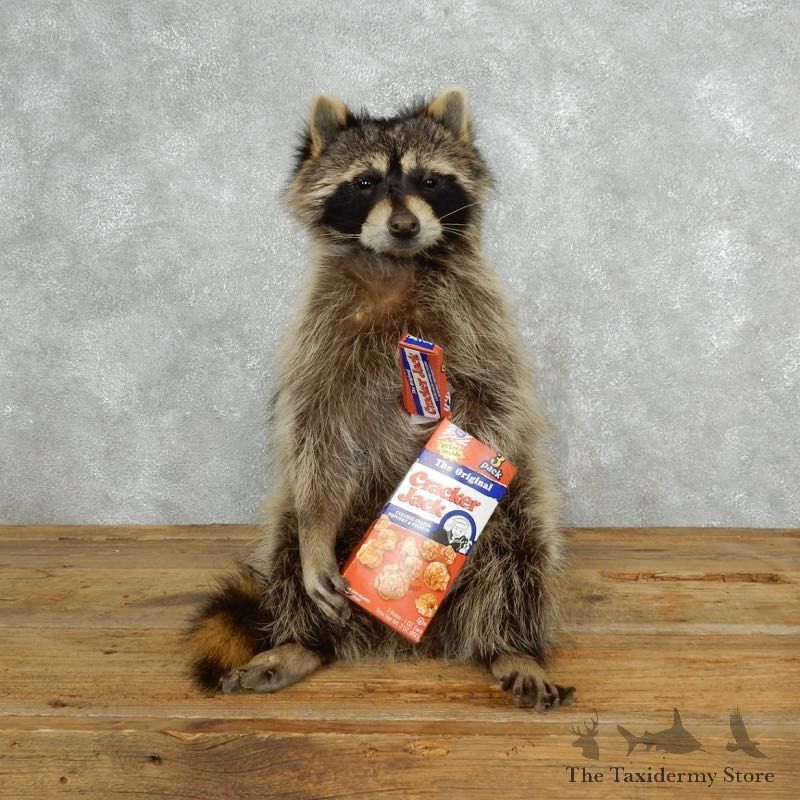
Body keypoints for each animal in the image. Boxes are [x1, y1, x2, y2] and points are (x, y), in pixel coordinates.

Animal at [186, 89, 575, 709]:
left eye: (430, 181)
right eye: (365, 183)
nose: (404, 225)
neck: (394, 265)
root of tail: (402, 641)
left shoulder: (479, 314)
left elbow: (498, 399)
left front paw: (454, 457)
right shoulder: (320, 330)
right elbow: (315, 425)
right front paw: (316, 538)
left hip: (516, 514)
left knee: (523, 547)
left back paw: (512, 646)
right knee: (289, 534)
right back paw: (302, 640)